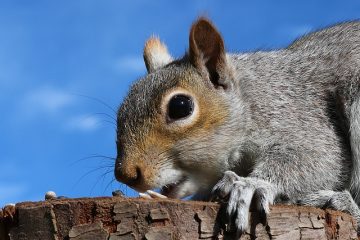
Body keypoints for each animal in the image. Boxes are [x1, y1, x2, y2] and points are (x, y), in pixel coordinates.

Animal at [114, 17, 360, 235]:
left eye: (180, 106)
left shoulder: (302, 116)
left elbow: (319, 158)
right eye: (121, 111)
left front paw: (250, 185)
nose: (125, 175)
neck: (250, 100)